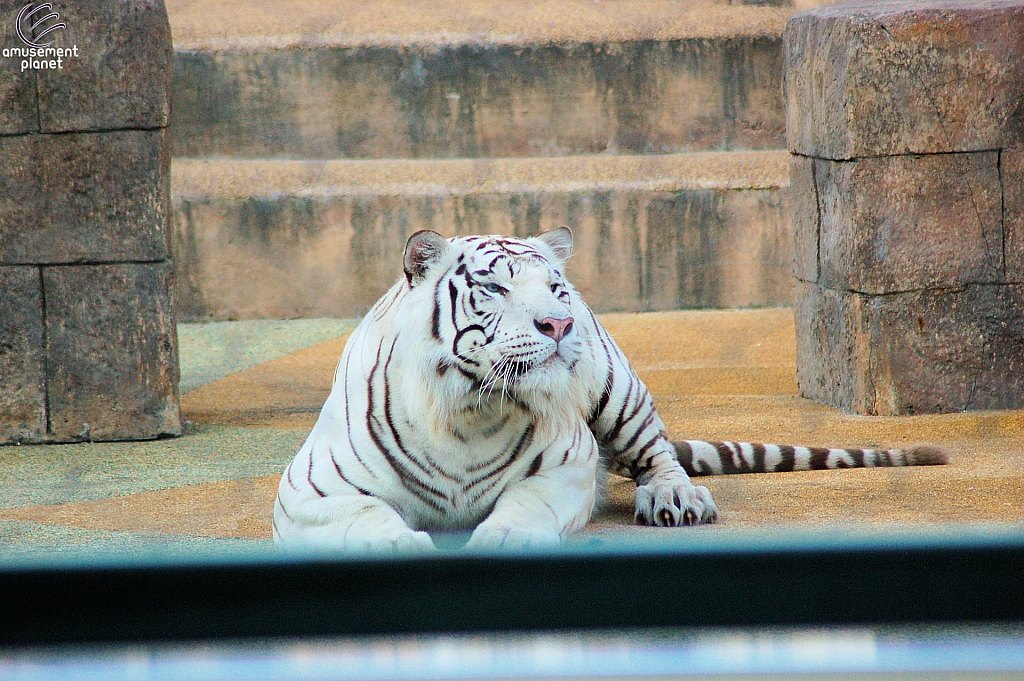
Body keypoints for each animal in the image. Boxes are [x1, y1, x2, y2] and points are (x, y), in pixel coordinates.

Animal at [274, 228, 950, 552]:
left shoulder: (567, 465)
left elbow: (528, 502)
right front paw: (398, 542)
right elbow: (365, 517)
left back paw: (676, 499)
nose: (559, 323)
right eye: (494, 288)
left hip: (616, 389)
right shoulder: (310, 492)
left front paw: (506, 535)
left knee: (659, 457)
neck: (471, 409)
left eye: (554, 288)